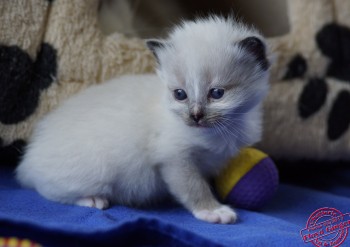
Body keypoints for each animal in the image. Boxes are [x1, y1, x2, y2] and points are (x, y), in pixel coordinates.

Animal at [15, 16, 270, 225]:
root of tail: (28, 159)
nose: (195, 116)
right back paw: (93, 200)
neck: (221, 131)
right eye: (180, 94)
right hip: (95, 171)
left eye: (217, 93)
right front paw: (213, 211)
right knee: (47, 190)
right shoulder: (175, 159)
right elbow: (195, 188)